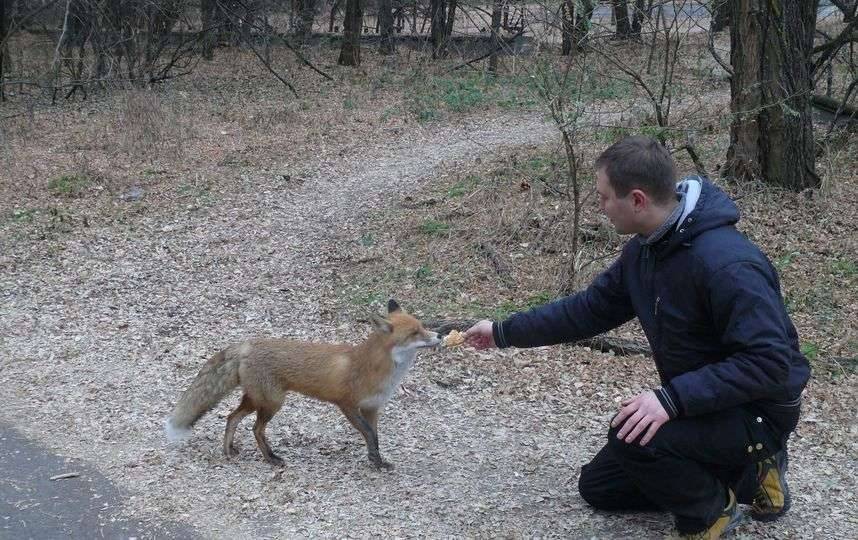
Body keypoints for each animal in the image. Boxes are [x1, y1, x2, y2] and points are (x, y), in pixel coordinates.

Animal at [164, 300, 438, 468]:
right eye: (415, 333)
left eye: (423, 327)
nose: (439, 335)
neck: (375, 369)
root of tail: (247, 345)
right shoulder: (347, 405)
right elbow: (369, 434)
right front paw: (375, 461)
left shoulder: (372, 408)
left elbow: (375, 437)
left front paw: (377, 461)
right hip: (272, 403)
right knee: (255, 429)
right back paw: (271, 458)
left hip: (256, 400)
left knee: (232, 418)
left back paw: (228, 450)